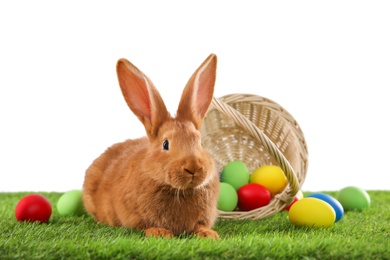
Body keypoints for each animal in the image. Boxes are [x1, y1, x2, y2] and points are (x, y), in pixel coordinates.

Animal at [82, 53, 221, 239]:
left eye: (200, 142)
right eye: (165, 144)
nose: (193, 167)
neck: (180, 191)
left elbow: (200, 226)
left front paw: (209, 234)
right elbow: (145, 225)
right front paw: (161, 233)